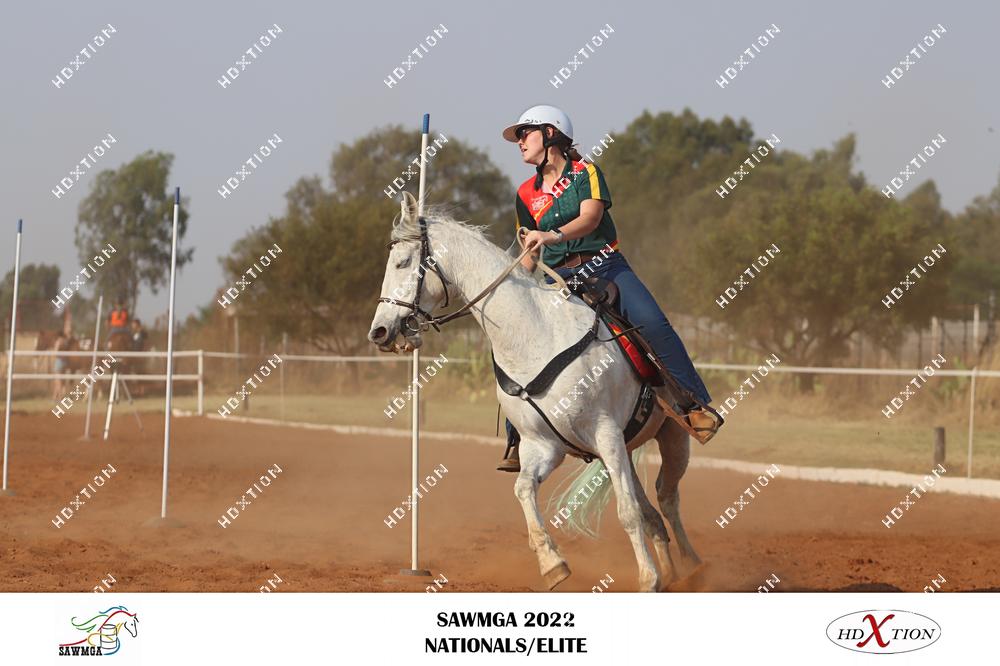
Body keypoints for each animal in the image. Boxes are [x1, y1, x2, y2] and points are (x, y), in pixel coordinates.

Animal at [368, 193, 704, 592]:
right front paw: (552, 562)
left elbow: (628, 513)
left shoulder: (606, 433)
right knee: (653, 511)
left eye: (403, 262)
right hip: (624, 451)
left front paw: (647, 579)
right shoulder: (543, 446)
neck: (533, 336)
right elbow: (523, 489)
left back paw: (693, 567)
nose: (379, 332)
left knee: (666, 497)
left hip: (671, 436)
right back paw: (671, 571)